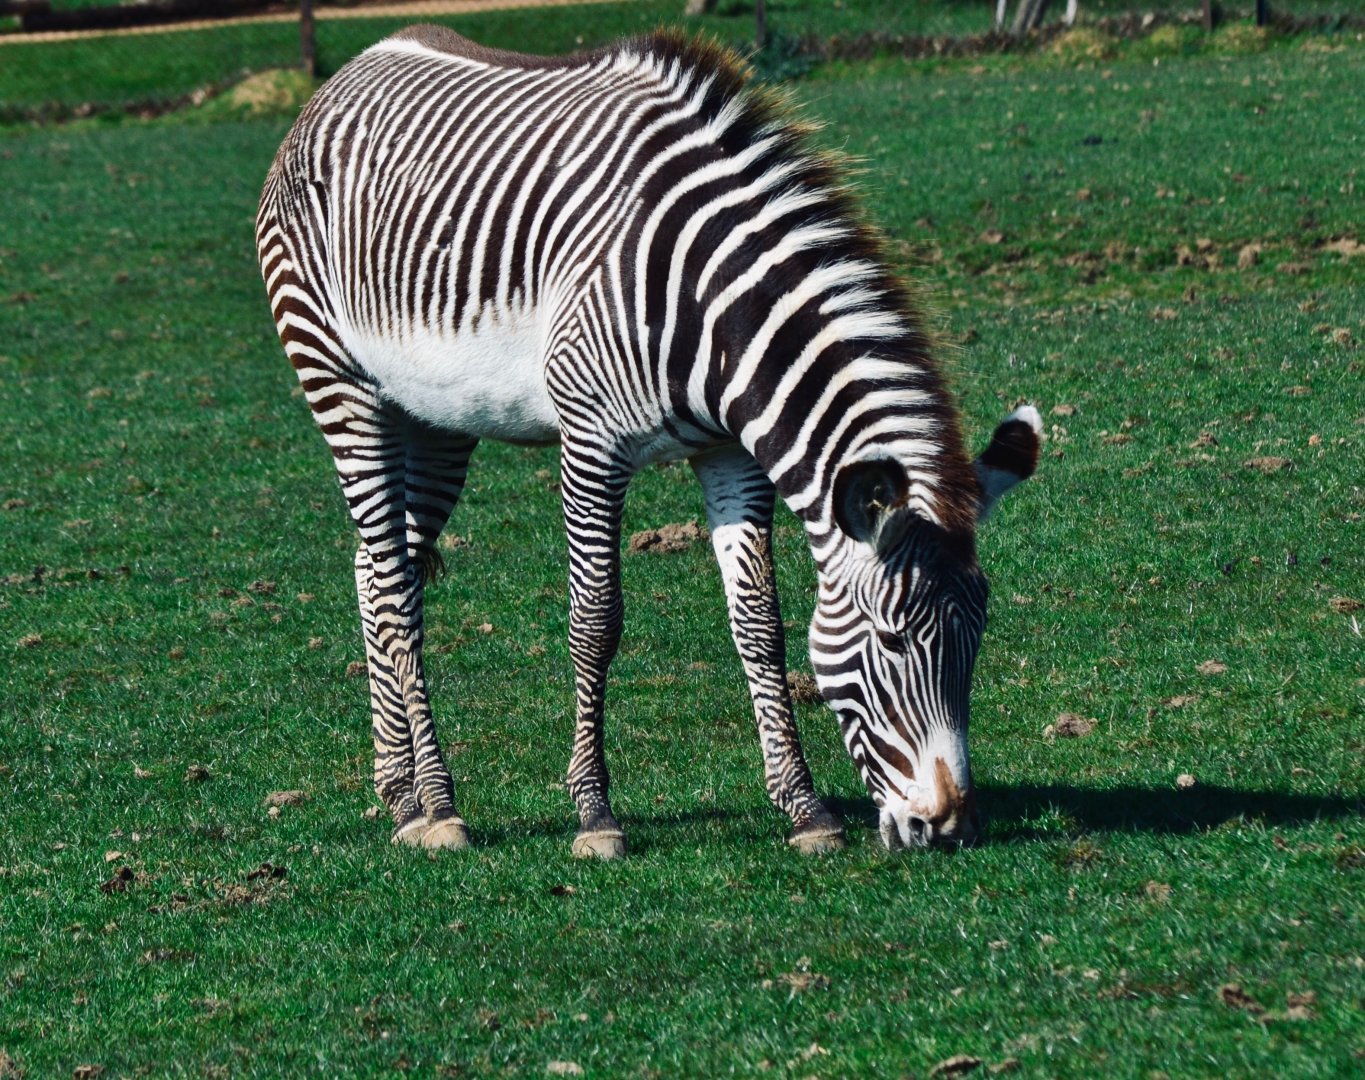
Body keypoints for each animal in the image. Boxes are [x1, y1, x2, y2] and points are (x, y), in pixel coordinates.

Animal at [255, 26, 1042, 858]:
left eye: (978, 635)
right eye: (892, 642)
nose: (949, 825)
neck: (713, 312)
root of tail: (351, 67)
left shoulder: (731, 453)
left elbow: (758, 623)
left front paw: (804, 809)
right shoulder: (590, 443)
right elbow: (594, 621)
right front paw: (595, 814)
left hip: (433, 416)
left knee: (377, 570)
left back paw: (396, 790)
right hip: (338, 376)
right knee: (395, 588)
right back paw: (434, 804)